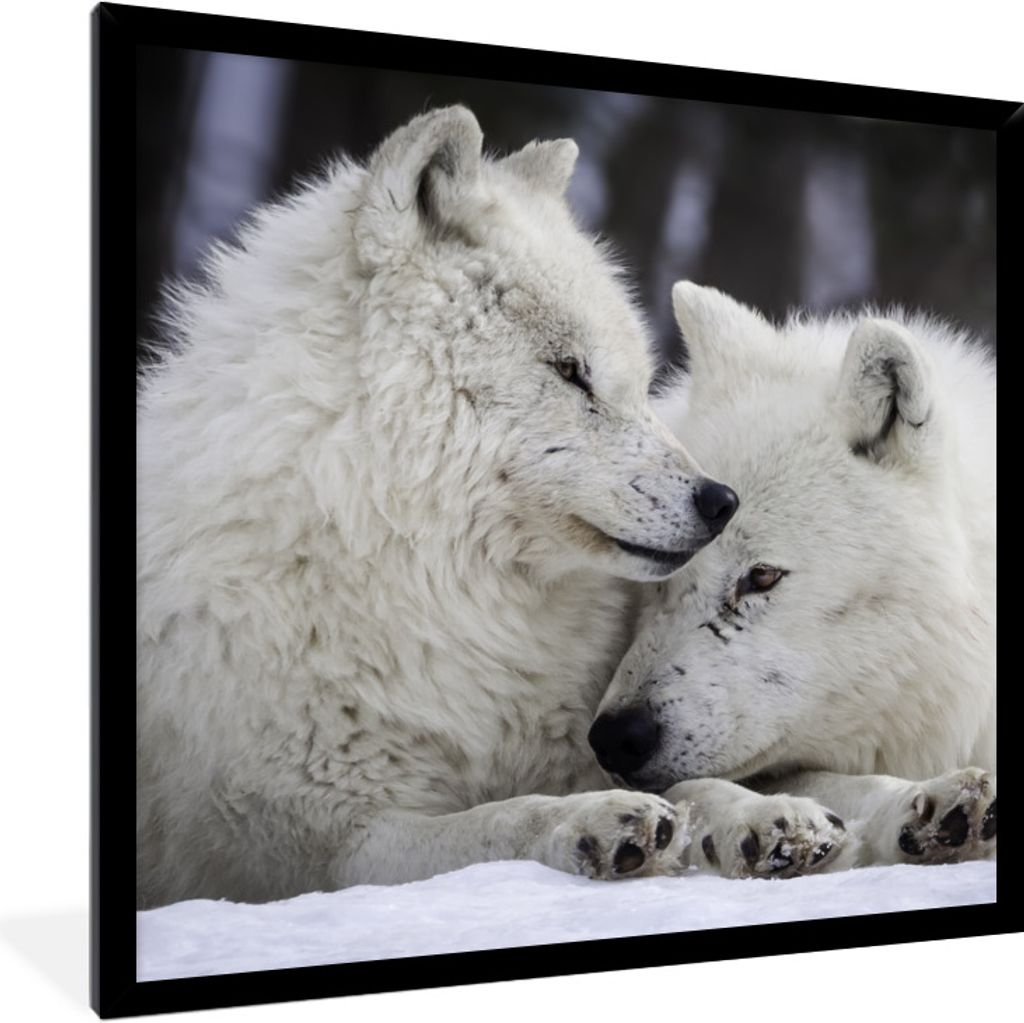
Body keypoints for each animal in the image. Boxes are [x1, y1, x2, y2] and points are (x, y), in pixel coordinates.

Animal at [136, 107, 740, 907]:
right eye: (570, 371)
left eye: (641, 384)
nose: (722, 501)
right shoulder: (323, 847)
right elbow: (496, 822)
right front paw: (592, 822)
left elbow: (704, 780)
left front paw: (780, 817)